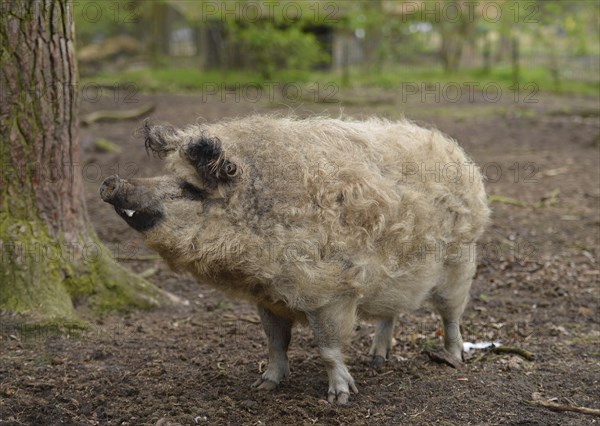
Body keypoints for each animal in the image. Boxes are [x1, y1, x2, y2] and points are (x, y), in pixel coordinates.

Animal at [98, 115, 490, 404]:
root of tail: (458, 154)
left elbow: (328, 347)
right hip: (394, 279)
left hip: (460, 260)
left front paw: (340, 397)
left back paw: (453, 359)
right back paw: (377, 360)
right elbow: (275, 342)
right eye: (168, 175)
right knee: (389, 314)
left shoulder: (331, 292)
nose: (111, 182)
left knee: (451, 315)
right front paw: (264, 386)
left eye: (190, 188)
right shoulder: (268, 298)